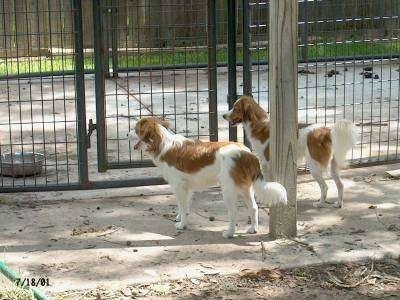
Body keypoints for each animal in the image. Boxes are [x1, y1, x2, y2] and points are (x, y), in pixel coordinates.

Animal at [128, 116, 288, 238]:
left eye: (135, 129)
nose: (126, 134)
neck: (162, 143)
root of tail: (247, 153)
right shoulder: (186, 187)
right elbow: (183, 206)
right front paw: (180, 217)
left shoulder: (179, 186)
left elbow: (182, 206)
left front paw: (182, 224)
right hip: (245, 189)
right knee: (254, 208)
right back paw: (253, 229)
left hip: (228, 189)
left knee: (234, 212)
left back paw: (229, 233)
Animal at [223, 96, 358, 209]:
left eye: (235, 108)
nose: (223, 115)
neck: (258, 124)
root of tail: (327, 131)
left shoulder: (267, 163)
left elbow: (268, 184)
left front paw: (267, 202)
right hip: (332, 167)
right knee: (340, 185)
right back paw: (338, 203)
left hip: (314, 166)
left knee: (325, 186)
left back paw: (320, 203)